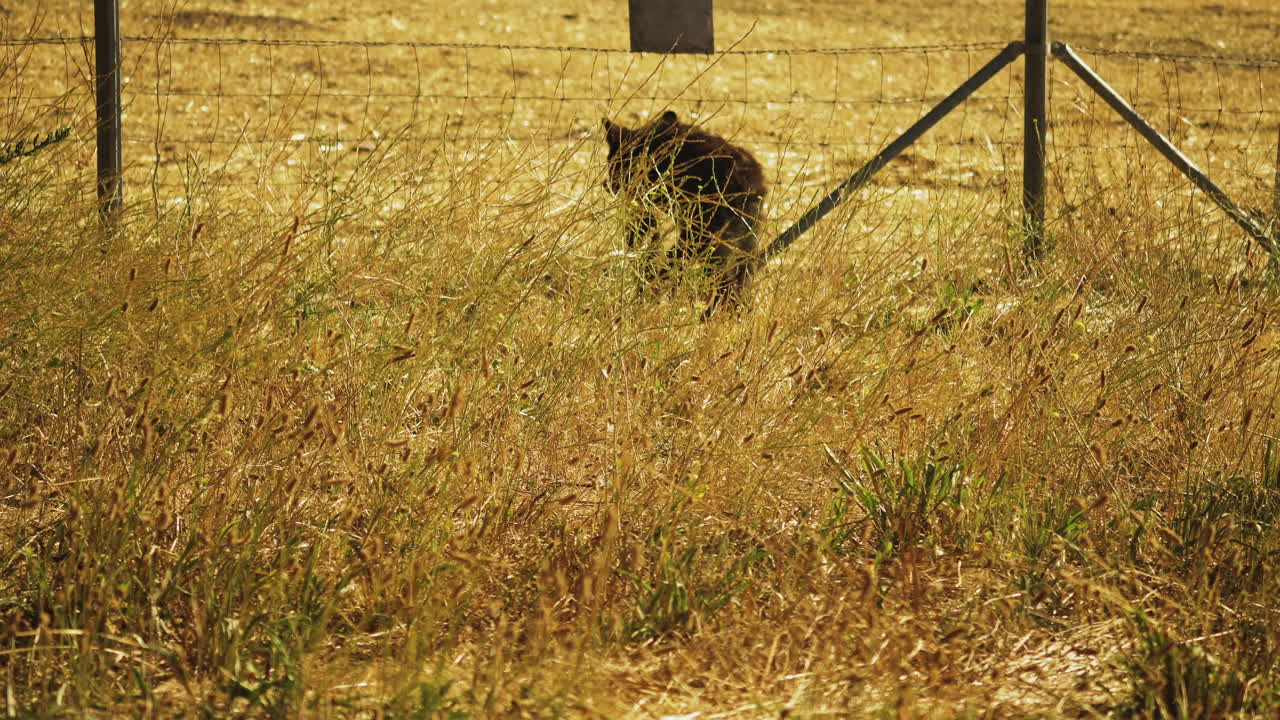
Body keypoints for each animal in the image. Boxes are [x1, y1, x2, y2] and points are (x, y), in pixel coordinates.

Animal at [602, 110, 767, 317]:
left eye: (612, 161)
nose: (606, 184)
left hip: (705, 237)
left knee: (720, 279)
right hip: (743, 240)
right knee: (740, 279)